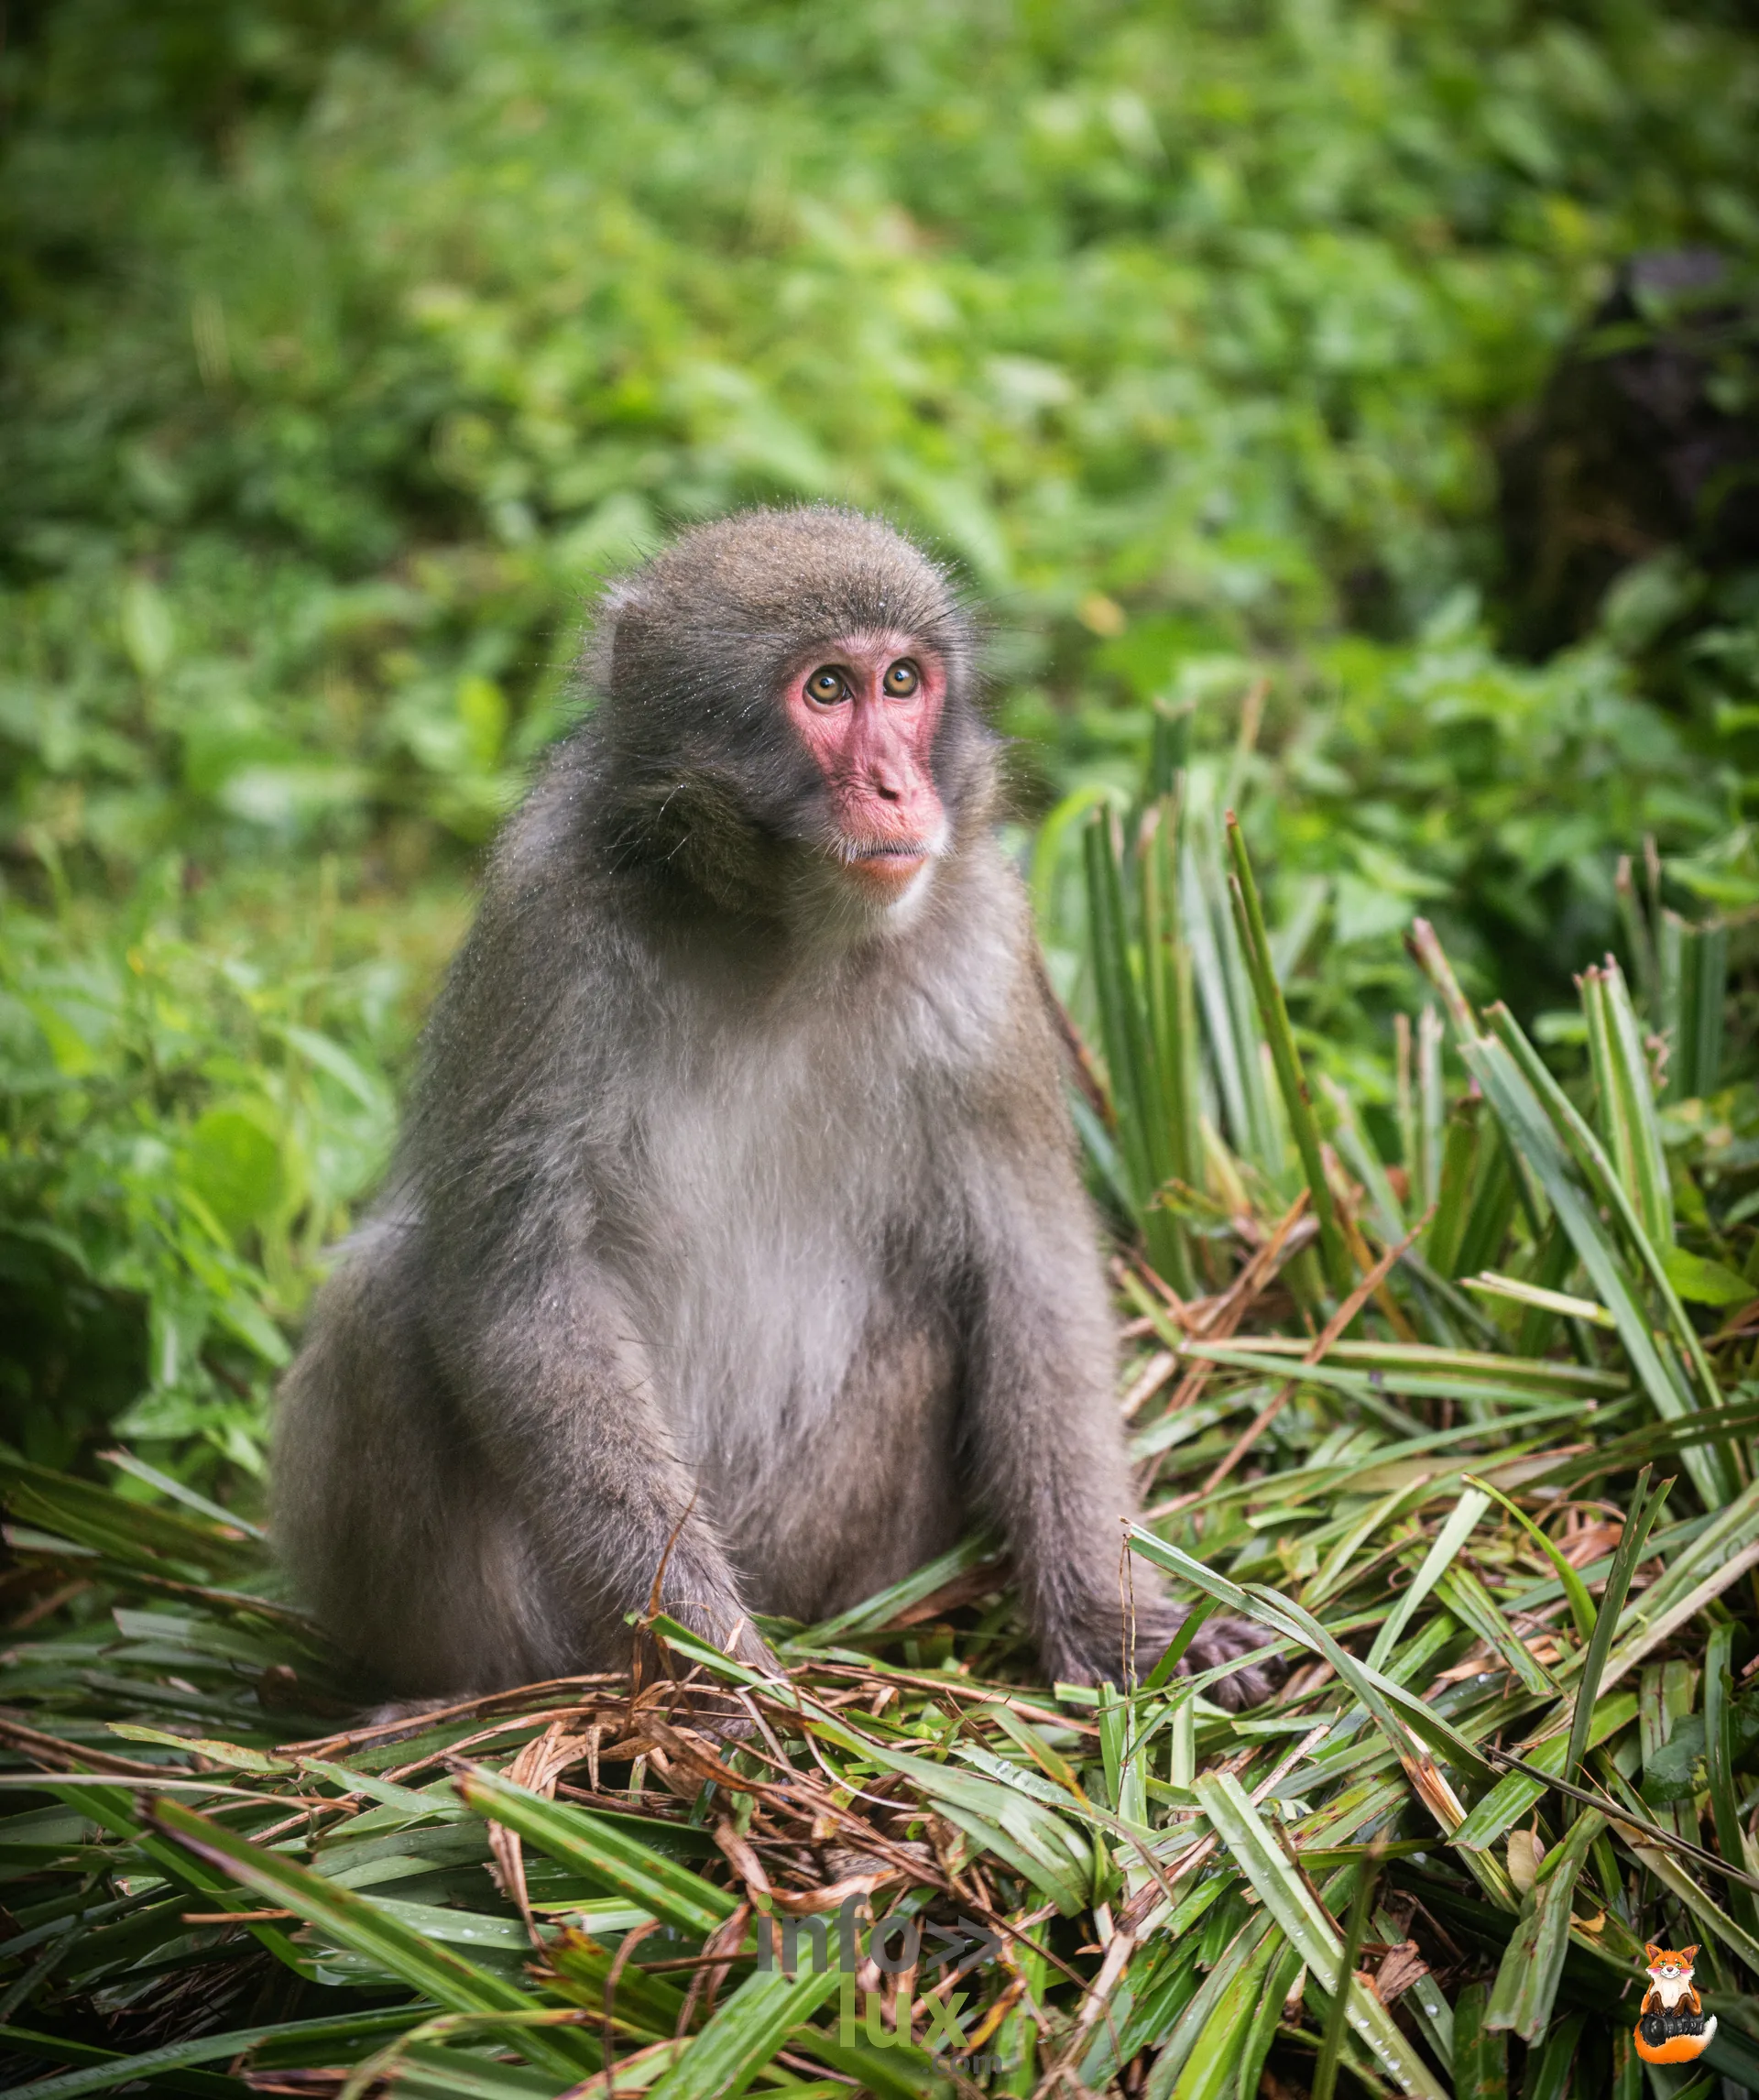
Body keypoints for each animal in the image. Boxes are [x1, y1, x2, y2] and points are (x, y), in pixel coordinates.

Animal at [271, 504, 1275, 1713]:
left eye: (902, 681)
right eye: (828, 691)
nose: (897, 789)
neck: (781, 938)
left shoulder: (983, 933)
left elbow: (1030, 1269)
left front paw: (1106, 1614)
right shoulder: (548, 925)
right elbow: (521, 1295)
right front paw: (716, 1675)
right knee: (384, 1301)